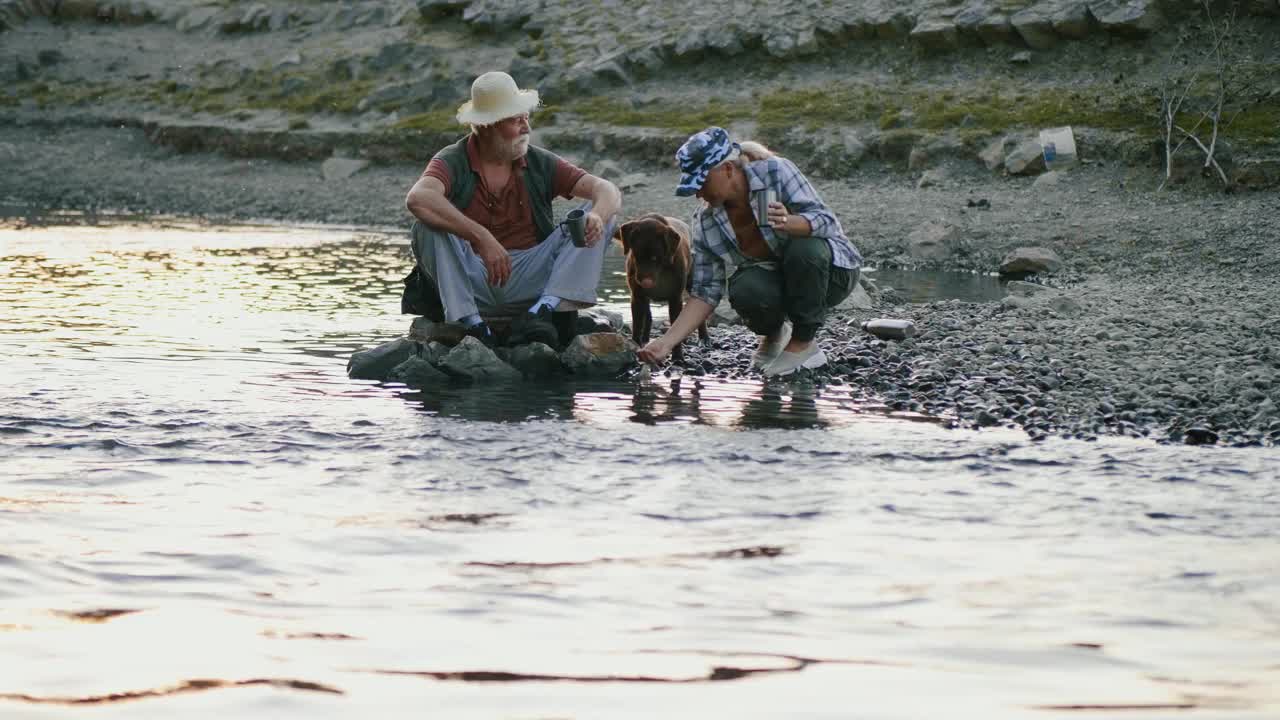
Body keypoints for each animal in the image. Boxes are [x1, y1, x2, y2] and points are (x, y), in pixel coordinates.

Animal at [611, 211, 711, 358]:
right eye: (636, 255)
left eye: (655, 257)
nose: (645, 282)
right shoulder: (637, 296)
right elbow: (637, 325)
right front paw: (635, 345)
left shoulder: (675, 298)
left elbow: (675, 324)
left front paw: (678, 356)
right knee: (648, 316)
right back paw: (645, 339)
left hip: (693, 281)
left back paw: (704, 339)